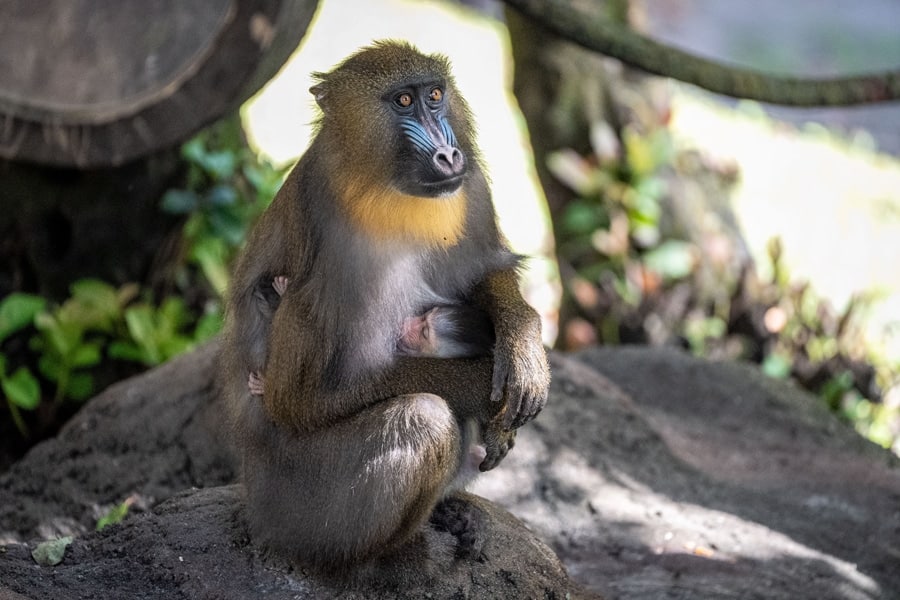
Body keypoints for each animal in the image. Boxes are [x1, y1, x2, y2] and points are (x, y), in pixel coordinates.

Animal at [219, 41, 550, 582]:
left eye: (435, 95)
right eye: (402, 102)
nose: (448, 154)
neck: (387, 188)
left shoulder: (471, 189)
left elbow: (485, 272)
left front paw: (523, 348)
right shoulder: (337, 248)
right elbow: (301, 399)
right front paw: (483, 391)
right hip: (305, 506)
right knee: (424, 416)